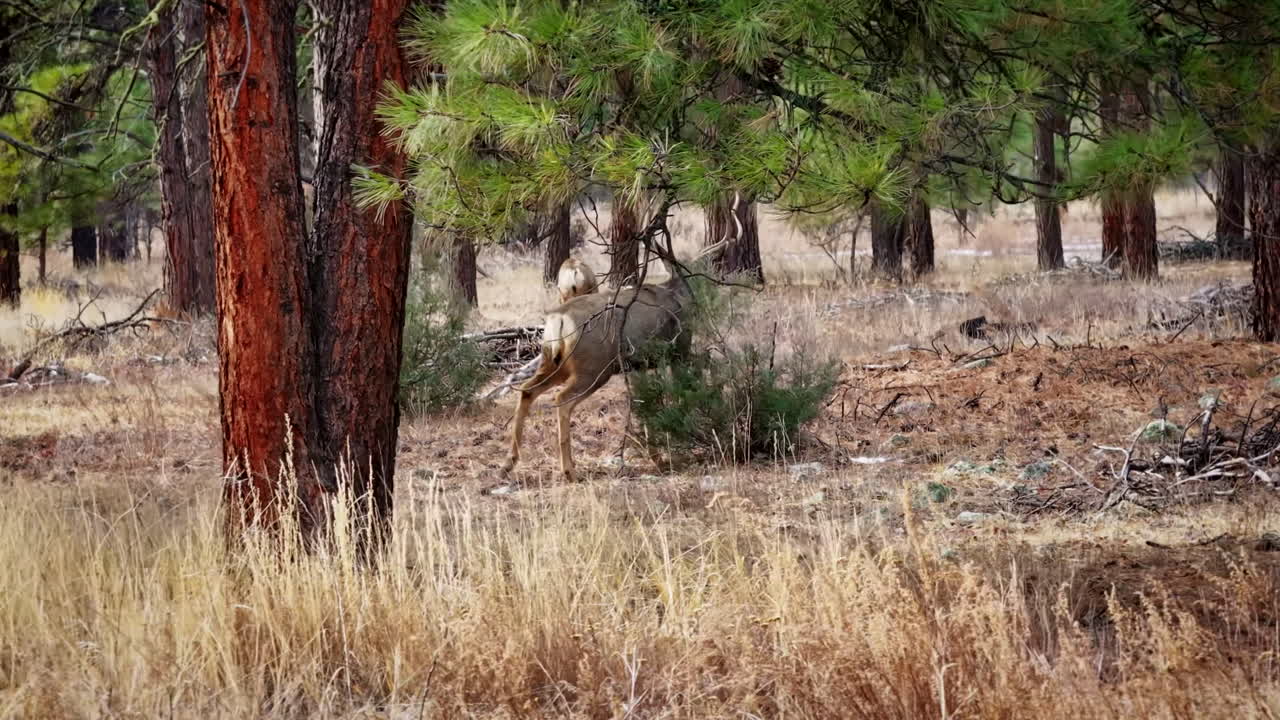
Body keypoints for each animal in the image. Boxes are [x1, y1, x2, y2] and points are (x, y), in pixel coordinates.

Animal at [501, 206, 738, 483]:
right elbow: (691, 377)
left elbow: (645, 399)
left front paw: (655, 453)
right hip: (594, 366)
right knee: (561, 399)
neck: (676, 295)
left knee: (528, 390)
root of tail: (558, 319)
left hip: (554, 362)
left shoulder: (642, 363)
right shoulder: (678, 349)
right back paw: (569, 470)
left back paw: (508, 463)